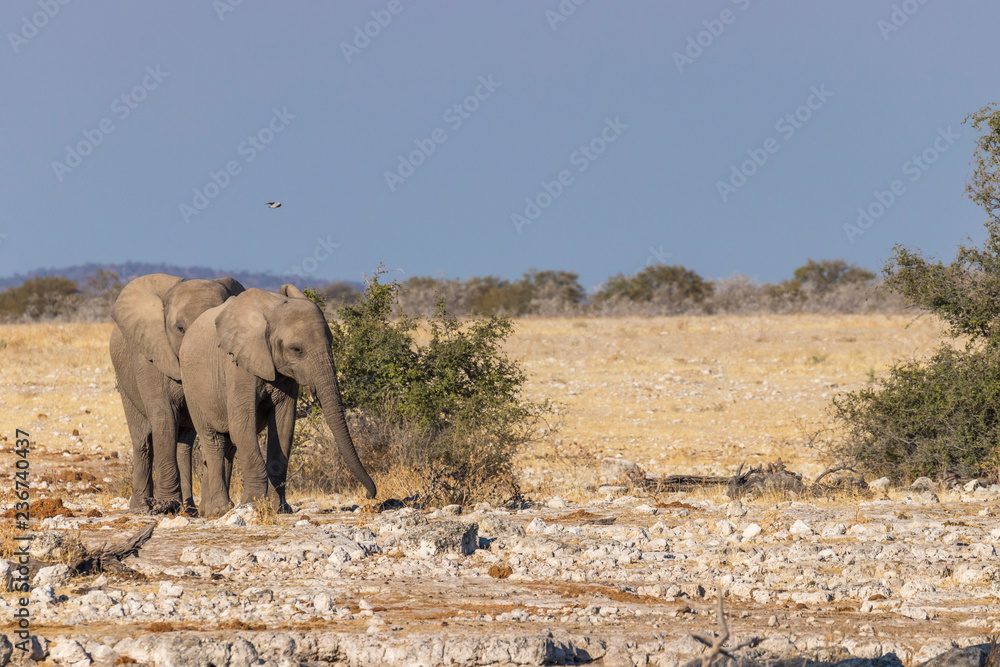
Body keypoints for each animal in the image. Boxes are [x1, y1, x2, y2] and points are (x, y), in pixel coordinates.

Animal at [109, 273, 245, 513]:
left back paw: (189, 508)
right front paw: (166, 505)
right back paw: (141, 507)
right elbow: (164, 418)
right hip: (124, 378)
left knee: (184, 444)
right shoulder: (149, 358)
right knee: (143, 439)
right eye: (180, 328)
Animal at [178, 285, 376, 518]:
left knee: (227, 446)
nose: (369, 495)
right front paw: (252, 506)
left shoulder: (288, 375)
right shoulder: (237, 365)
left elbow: (283, 427)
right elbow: (242, 426)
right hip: (191, 387)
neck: (273, 309)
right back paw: (219, 510)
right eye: (297, 350)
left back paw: (208, 511)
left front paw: (280, 509)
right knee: (214, 441)